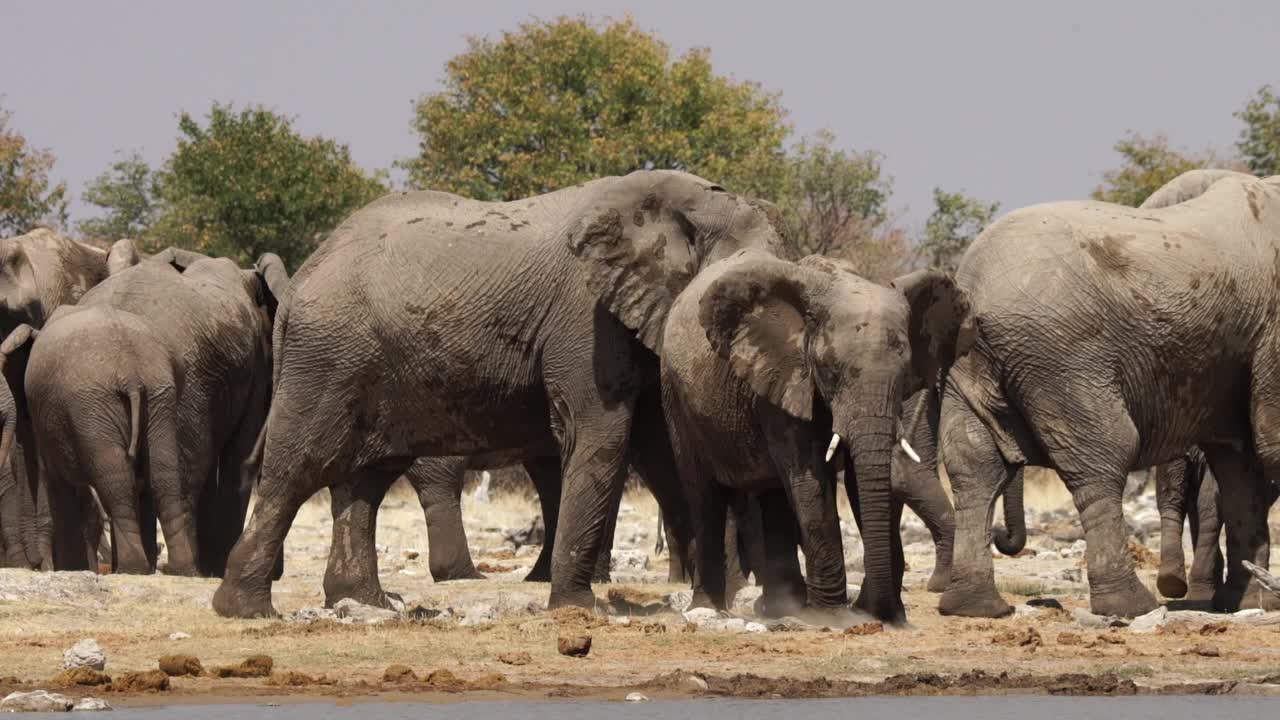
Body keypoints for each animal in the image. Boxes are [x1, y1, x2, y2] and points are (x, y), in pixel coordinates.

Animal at [7, 249, 289, 573]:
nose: (278, 572)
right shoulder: (253, 366)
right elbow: (236, 459)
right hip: (187, 382)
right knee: (181, 472)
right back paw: (176, 568)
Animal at [213, 169, 783, 617]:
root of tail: (298, 282)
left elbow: (663, 449)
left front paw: (721, 602)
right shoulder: (586, 319)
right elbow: (600, 432)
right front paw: (579, 610)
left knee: (366, 480)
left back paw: (366, 603)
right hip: (328, 355)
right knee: (299, 468)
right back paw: (246, 610)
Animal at [665, 249, 962, 620]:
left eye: (904, 371)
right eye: (831, 370)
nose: (882, 613)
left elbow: (859, 481)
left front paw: (881, 614)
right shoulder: (783, 378)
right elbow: (811, 479)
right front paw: (833, 617)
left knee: (773, 493)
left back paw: (781, 608)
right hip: (676, 397)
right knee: (704, 496)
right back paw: (708, 609)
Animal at [936, 169, 1280, 617]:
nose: (1001, 537)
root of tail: (976, 288)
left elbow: (1242, 465)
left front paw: (1249, 603)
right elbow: (1268, 446)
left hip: (974, 361)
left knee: (973, 463)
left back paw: (974, 606)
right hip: (1064, 357)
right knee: (1103, 455)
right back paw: (1130, 605)